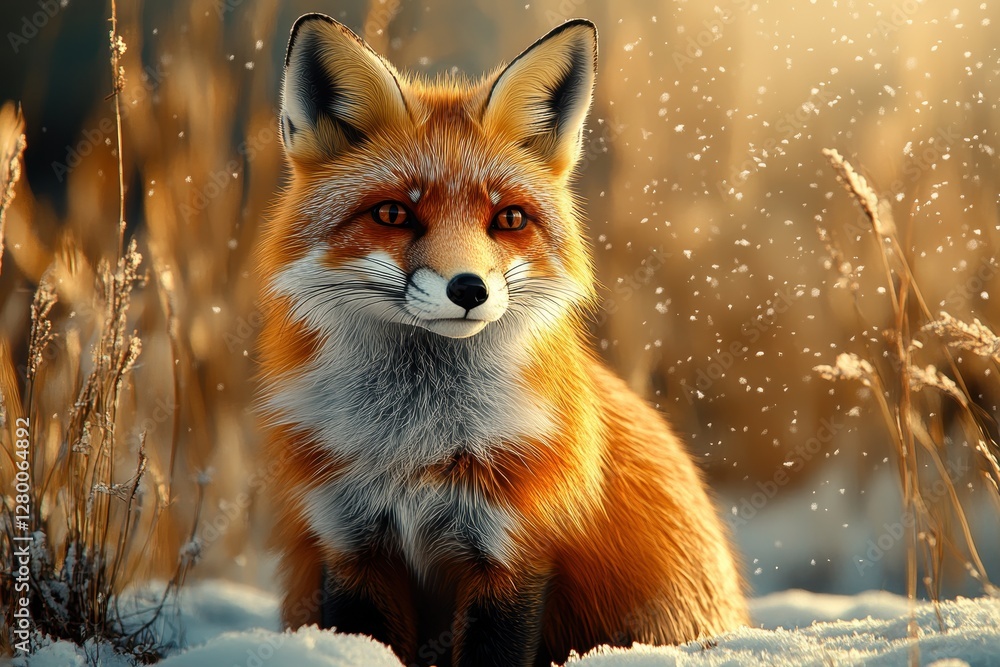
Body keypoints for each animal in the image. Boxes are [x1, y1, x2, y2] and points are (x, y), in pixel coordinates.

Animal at [256, 12, 748, 667]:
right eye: (393, 214)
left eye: (508, 219)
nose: (469, 288)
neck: (417, 443)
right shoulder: (352, 543)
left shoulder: (515, 551)